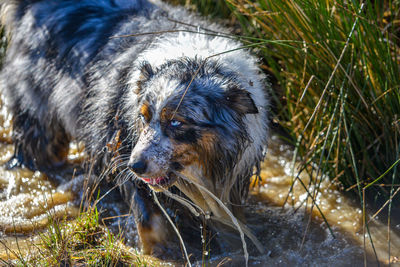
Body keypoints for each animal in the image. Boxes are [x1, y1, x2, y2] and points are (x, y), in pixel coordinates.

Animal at [0, 0, 268, 260]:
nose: (135, 166)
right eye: (143, 117)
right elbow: (150, 220)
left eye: (176, 122)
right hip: (39, 119)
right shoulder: (120, 151)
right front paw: (159, 253)